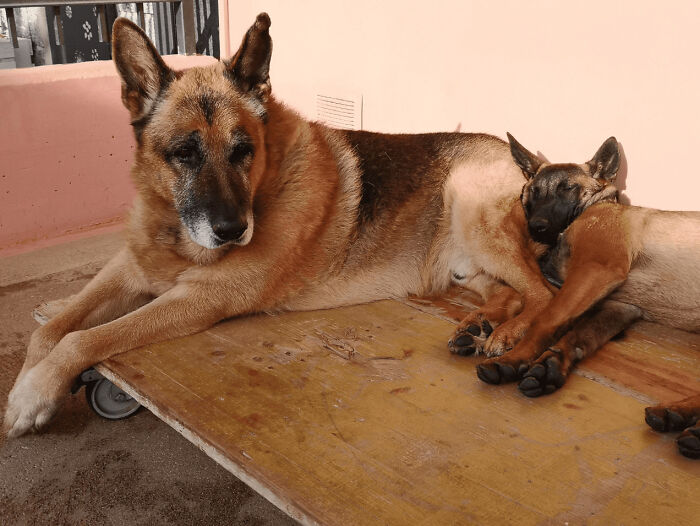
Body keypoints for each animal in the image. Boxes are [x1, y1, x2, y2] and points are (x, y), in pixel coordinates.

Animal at [2, 14, 556, 440]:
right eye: (184, 153)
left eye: (243, 150)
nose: (232, 231)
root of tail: (526, 157)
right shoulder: (128, 268)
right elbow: (52, 326)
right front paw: (28, 381)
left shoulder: (199, 298)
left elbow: (84, 338)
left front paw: (34, 393)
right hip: (468, 261)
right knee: (509, 292)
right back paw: (482, 324)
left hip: (471, 207)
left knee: (543, 295)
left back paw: (509, 336)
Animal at [476, 135, 700, 458]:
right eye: (533, 192)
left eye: (567, 188)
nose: (536, 228)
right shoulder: (620, 305)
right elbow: (579, 335)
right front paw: (550, 366)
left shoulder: (595, 270)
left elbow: (546, 319)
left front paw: (514, 357)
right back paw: (681, 416)